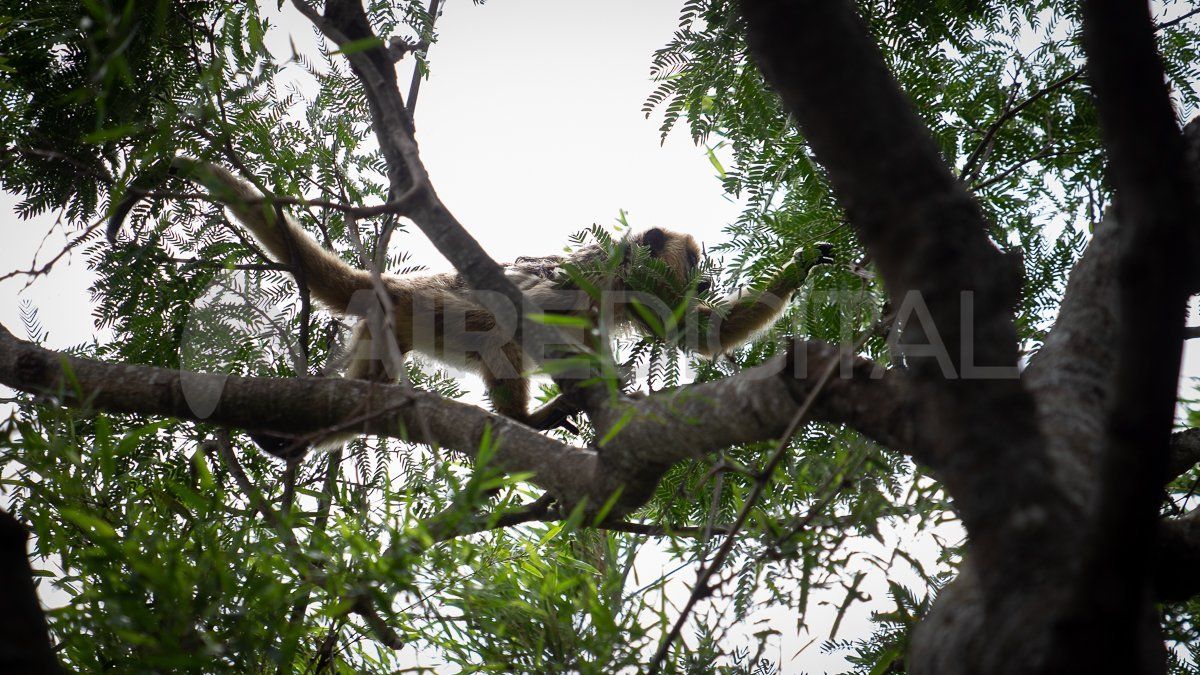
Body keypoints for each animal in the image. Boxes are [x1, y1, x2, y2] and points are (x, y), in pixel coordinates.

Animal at [108, 157, 832, 451]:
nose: (706, 282)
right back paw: (530, 418)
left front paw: (804, 264)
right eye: (697, 263)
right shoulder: (582, 279)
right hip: (438, 308)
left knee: (369, 392)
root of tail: (400, 287)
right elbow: (530, 315)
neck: (617, 278)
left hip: (386, 331)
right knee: (499, 330)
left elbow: (697, 336)